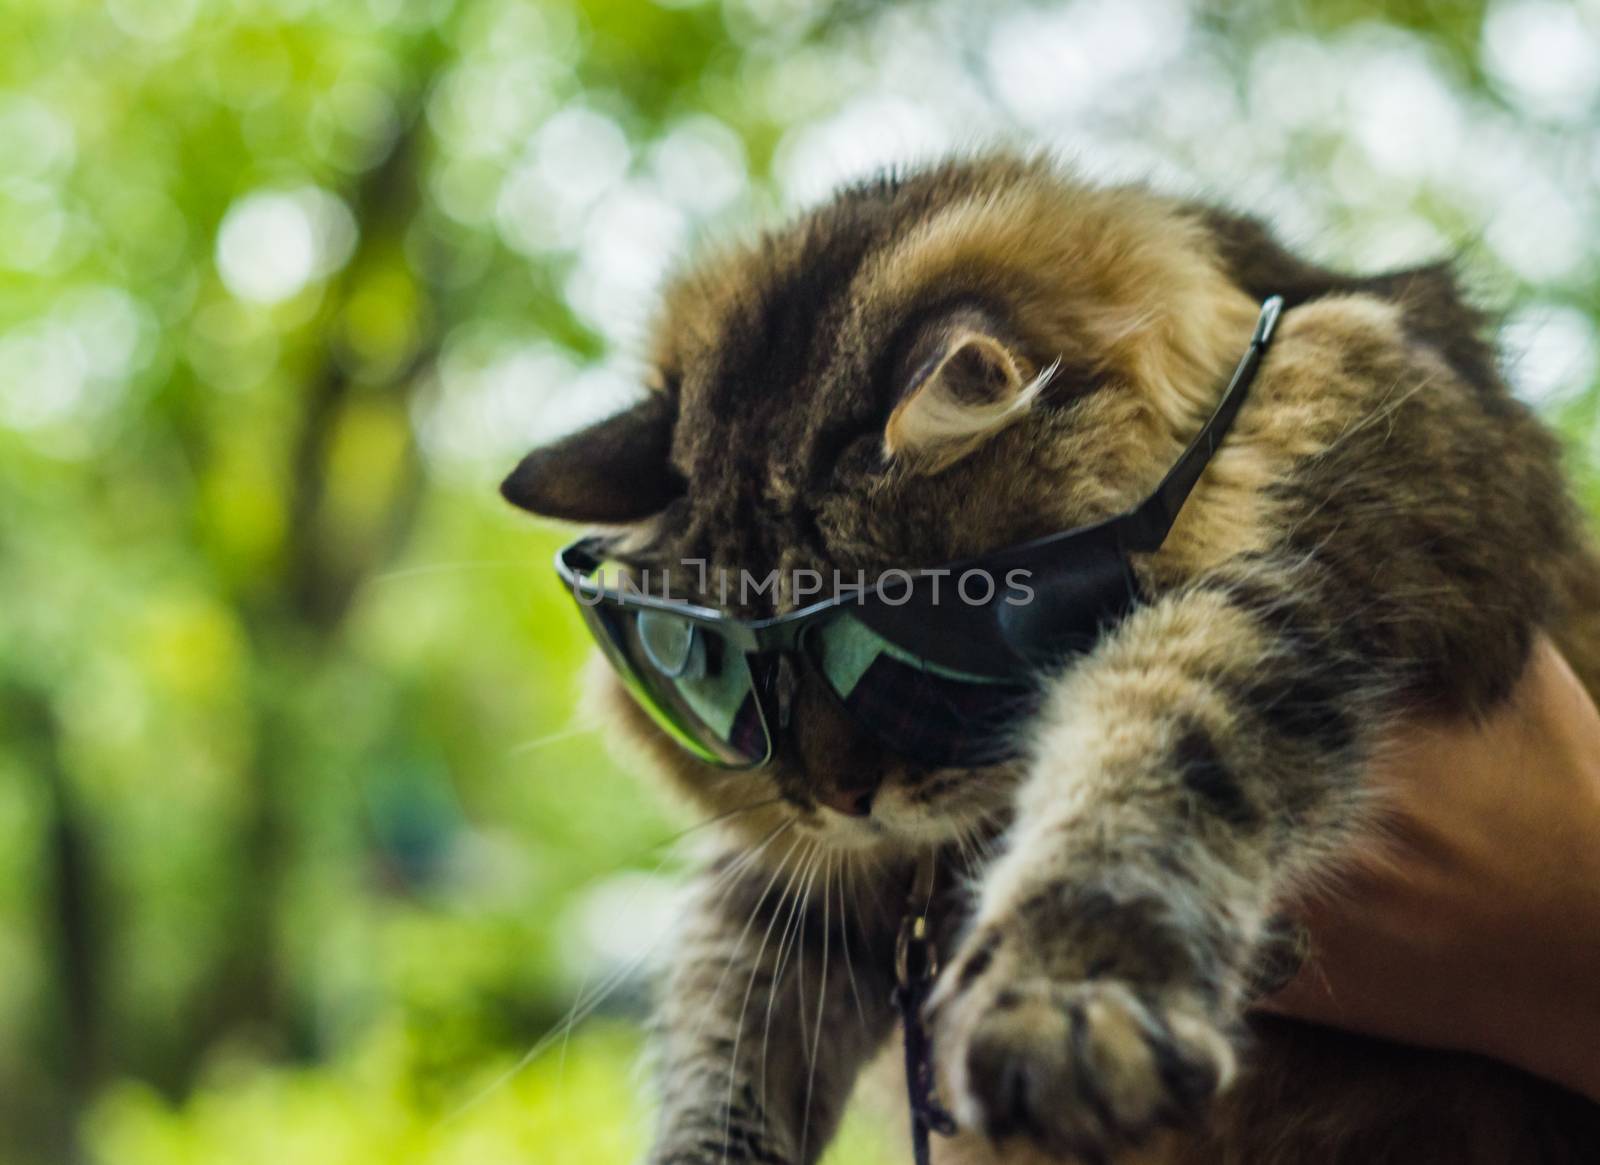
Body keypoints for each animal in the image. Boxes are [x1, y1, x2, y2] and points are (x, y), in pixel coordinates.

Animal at [499, 150, 1600, 1158]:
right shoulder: (792, 890)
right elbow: (725, 1043)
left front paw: (1067, 996)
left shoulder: (1291, 575)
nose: (841, 798)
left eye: (903, 637)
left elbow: (1149, 766)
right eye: (714, 668)